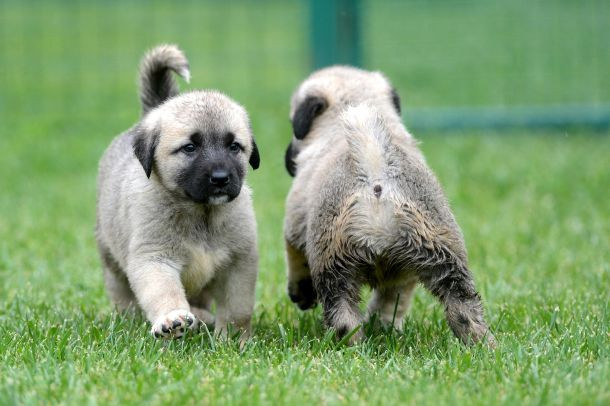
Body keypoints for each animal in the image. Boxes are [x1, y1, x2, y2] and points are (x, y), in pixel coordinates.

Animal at [95, 43, 258, 340]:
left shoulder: (239, 263)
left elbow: (238, 308)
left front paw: (233, 339)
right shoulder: (154, 258)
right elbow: (165, 293)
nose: (220, 178)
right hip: (111, 258)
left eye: (234, 147)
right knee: (123, 296)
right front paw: (172, 320)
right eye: (190, 148)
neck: (201, 214)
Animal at [284, 66, 494, 346]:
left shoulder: (294, 221)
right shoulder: (403, 275)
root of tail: (375, 169)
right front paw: (384, 323)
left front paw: (300, 291)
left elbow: (295, 257)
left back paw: (350, 346)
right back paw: (482, 345)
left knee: (343, 315)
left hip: (333, 268)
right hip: (444, 259)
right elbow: (393, 299)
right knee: (463, 308)